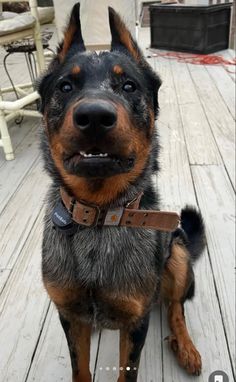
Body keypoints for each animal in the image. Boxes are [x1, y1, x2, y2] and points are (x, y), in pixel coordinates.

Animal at [37, 3, 206, 382]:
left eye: (128, 85)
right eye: (65, 86)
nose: (94, 116)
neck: (99, 215)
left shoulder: (136, 321)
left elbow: (127, 369)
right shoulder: (69, 316)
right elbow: (80, 368)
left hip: (177, 254)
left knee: (176, 306)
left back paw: (185, 346)